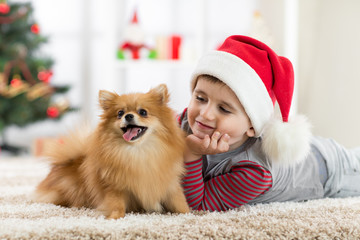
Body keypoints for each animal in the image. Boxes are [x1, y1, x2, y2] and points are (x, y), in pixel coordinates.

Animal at [34, 84, 190, 219]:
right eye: (120, 113)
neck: (138, 152)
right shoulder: (114, 187)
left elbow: (180, 203)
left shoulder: (170, 185)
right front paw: (114, 217)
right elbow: (117, 205)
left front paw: (189, 214)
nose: (128, 116)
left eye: (143, 112)